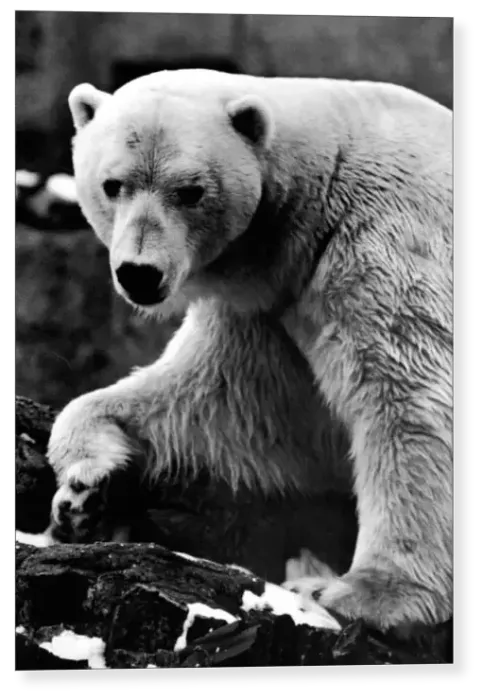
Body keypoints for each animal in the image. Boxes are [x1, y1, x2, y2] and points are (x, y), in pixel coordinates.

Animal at [46, 68, 453, 635]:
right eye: (112, 185)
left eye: (190, 191)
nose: (140, 274)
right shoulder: (268, 305)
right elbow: (231, 404)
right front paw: (87, 486)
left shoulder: (382, 241)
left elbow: (407, 394)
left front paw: (370, 593)